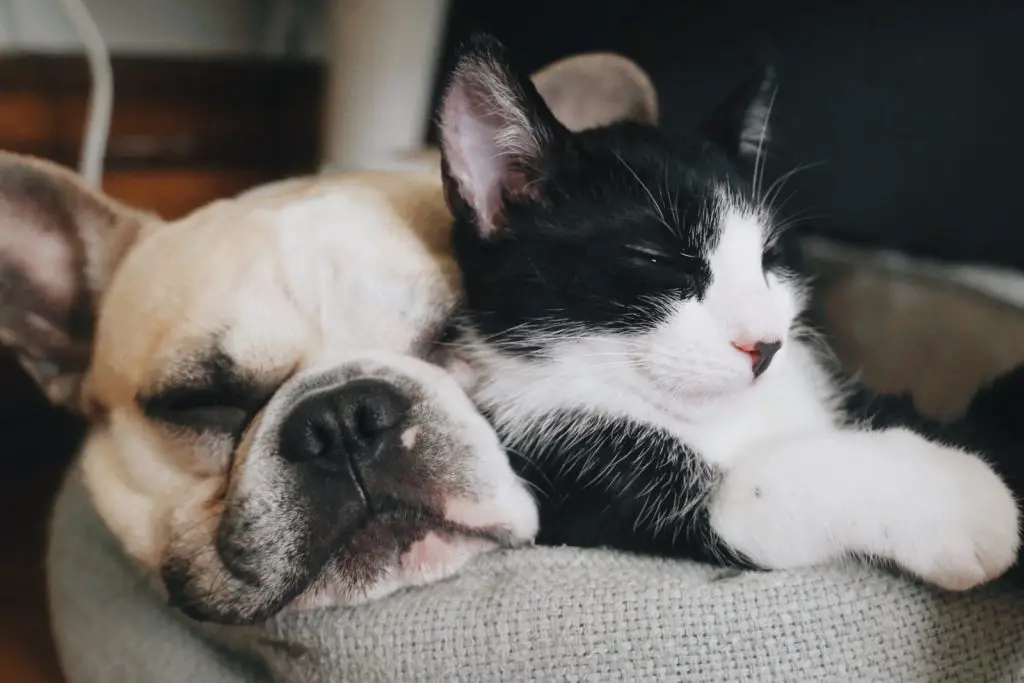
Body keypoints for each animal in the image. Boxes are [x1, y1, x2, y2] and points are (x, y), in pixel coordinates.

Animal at [436, 37, 1019, 589]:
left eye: (769, 257)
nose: (765, 345)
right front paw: (963, 500)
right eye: (657, 259)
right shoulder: (578, 475)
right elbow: (761, 490)